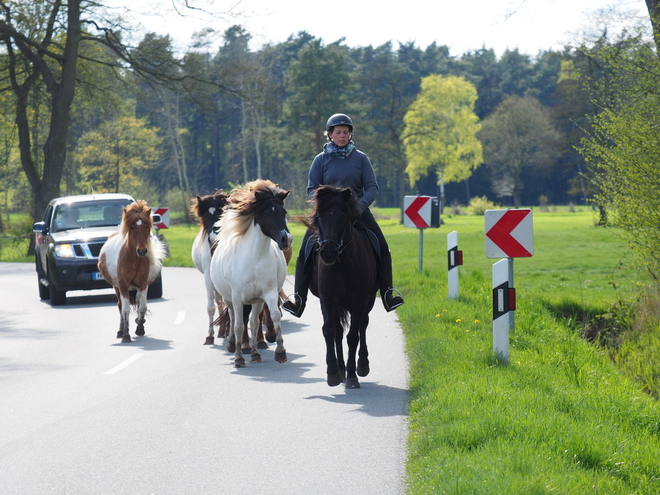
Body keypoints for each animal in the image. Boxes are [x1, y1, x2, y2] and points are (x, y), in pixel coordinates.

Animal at [211, 180, 292, 366]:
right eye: (268, 213)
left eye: (284, 212)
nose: (286, 240)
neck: (254, 258)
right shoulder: (237, 298)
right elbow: (239, 325)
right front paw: (239, 358)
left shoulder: (266, 294)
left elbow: (273, 317)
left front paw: (280, 352)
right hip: (230, 299)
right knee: (234, 318)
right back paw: (233, 345)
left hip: (255, 301)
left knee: (254, 322)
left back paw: (255, 353)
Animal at [304, 185, 376, 388]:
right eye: (320, 217)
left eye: (343, 218)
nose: (328, 253)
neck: (342, 265)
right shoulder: (327, 300)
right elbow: (330, 332)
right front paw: (333, 373)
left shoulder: (360, 302)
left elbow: (353, 337)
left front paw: (352, 375)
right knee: (338, 332)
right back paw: (341, 369)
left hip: (368, 302)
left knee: (363, 326)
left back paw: (362, 365)